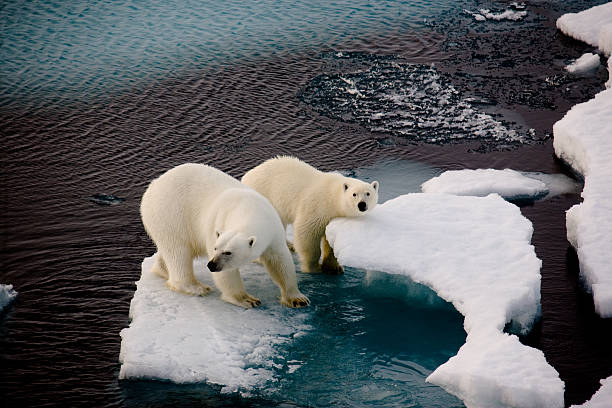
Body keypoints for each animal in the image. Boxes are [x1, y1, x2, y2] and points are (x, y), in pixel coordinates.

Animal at [140, 161, 308, 308]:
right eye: (215, 248)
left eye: (228, 252)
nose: (211, 264)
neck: (249, 209)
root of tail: (152, 187)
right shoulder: (217, 223)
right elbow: (227, 275)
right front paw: (247, 299)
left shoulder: (273, 229)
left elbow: (280, 261)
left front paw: (297, 299)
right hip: (170, 214)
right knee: (178, 252)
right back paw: (196, 287)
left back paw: (162, 269)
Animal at [240, 156, 378, 274]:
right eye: (354, 194)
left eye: (368, 193)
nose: (362, 205)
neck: (332, 196)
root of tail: (245, 177)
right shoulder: (317, 207)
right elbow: (307, 234)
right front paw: (313, 268)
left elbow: (330, 240)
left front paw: (334, 268)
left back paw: (289, 246)